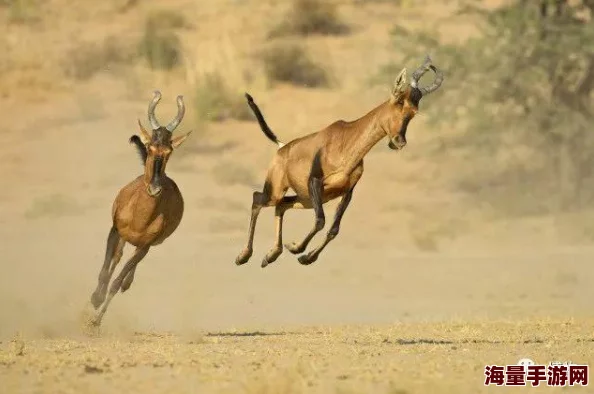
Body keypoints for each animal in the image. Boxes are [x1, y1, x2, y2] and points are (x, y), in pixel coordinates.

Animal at [89, 91, 191, 324]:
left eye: (169, 150)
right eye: (150, 147)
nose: (154, 189)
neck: (141, 217)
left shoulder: (145, 245)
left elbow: (117, 282)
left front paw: (95, 322)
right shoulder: (114, 230)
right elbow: (105, 271)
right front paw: (96, 299)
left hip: (145, 246)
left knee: (127, 270)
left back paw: (127, 284)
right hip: (123, 237)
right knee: (116, 258)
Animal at [234, 55, 442, 268]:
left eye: (414, 111)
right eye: (398, 101)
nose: (398, 141)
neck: (344, 140)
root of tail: (282, 147)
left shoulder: (347, 192)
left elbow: (333, 229)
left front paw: (304, 256)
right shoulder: (315, 181)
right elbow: (320, 221)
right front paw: (298, 249)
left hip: (307, 198)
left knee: (281, 205)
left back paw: (271, 255)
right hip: (278, 190)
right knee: (258, 199)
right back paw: (244, 256)